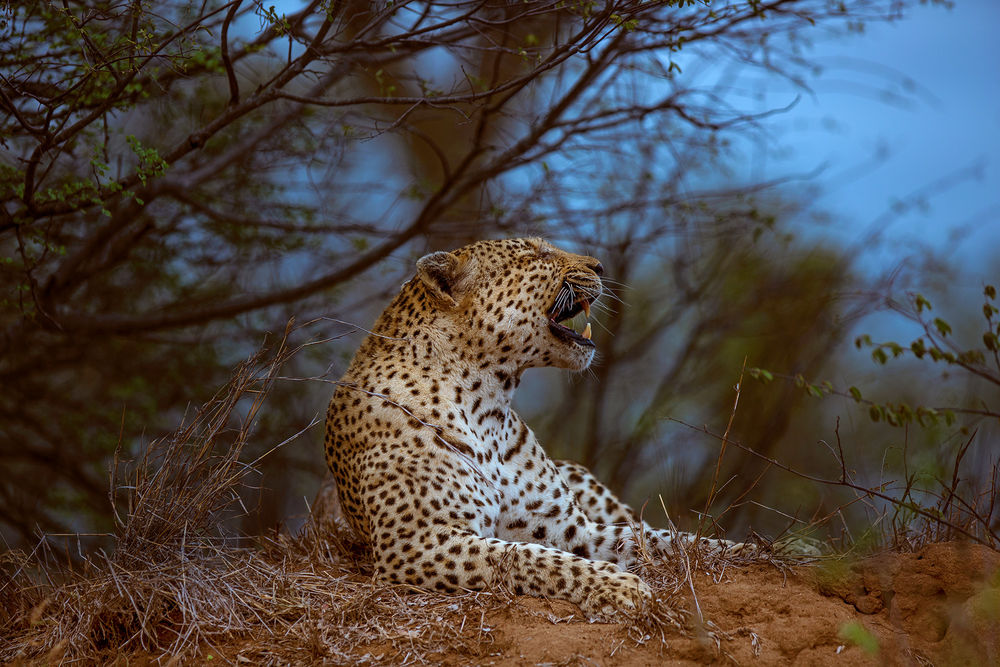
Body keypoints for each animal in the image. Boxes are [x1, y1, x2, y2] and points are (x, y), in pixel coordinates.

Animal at [324, 237, 748, 620]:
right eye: (535, 253)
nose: (600, 267)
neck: (489, 404)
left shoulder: (571, 528)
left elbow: (658, 539)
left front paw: (744, 551)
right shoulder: (419, 542)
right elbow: (531, 559)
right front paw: (619, 587)